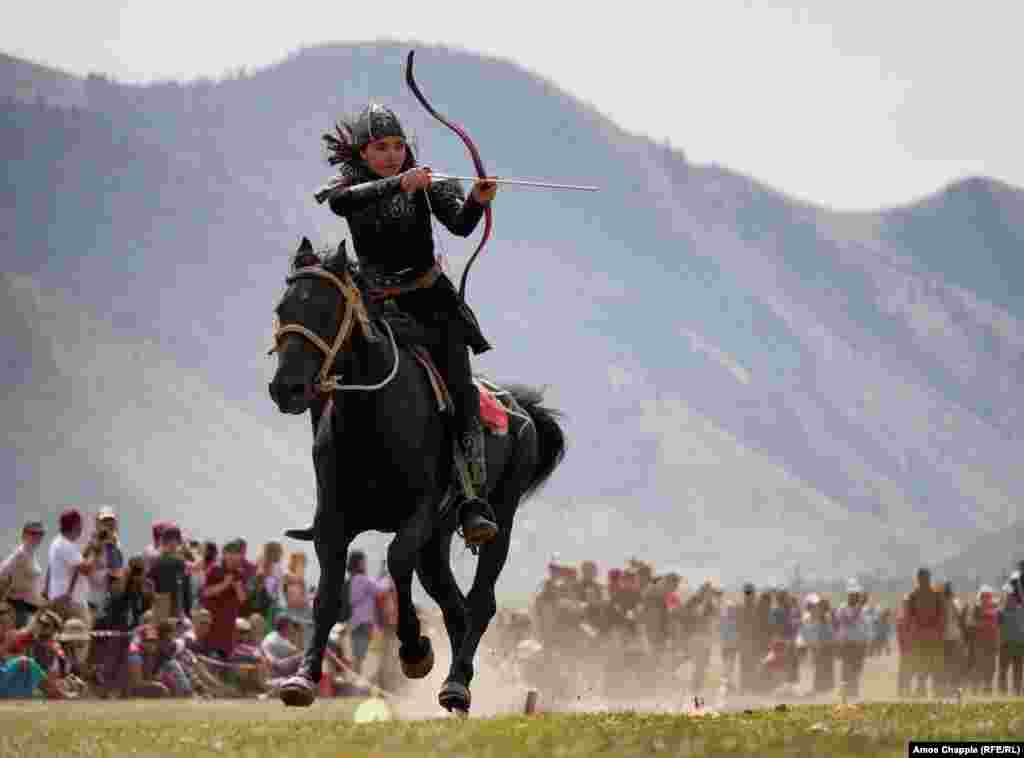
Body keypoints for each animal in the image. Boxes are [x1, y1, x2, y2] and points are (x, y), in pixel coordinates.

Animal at [266, 239, 569, 712]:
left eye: (327, 310)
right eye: (284, 308)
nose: (287, 388)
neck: (371, 420)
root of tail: (521, 410)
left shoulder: (420, 513)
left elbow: (395, 561)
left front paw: (414, 651)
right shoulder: (332, 523)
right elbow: (329, 595)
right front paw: (303, 676)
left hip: (497, 518)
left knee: (479, 601)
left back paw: (456, 683)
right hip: (437, 542)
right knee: (454, 604)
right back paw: (466, 681)